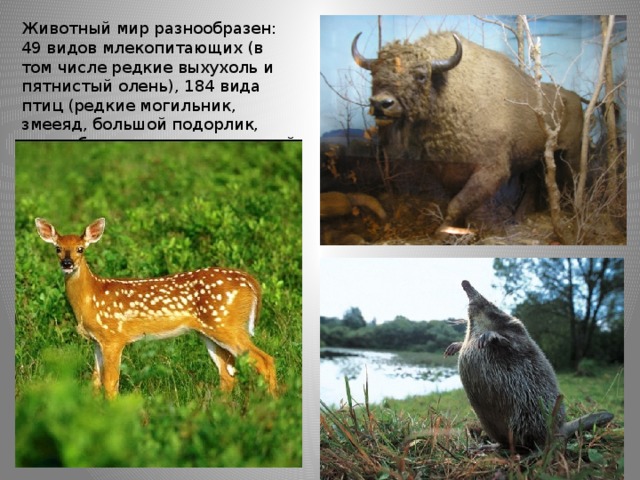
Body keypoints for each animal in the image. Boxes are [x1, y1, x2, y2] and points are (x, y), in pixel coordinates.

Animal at [35, 217, 277, 399]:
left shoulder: (114, 337)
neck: (91, 297)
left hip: (227, 324)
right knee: (227, 373)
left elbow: (111, 383)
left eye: (80, 249)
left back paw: (273, 403)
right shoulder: (96, 340)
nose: (67, 264)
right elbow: (95, 382)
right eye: (57, 248)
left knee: (264, 360)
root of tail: (251, 282)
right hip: (209, 332)